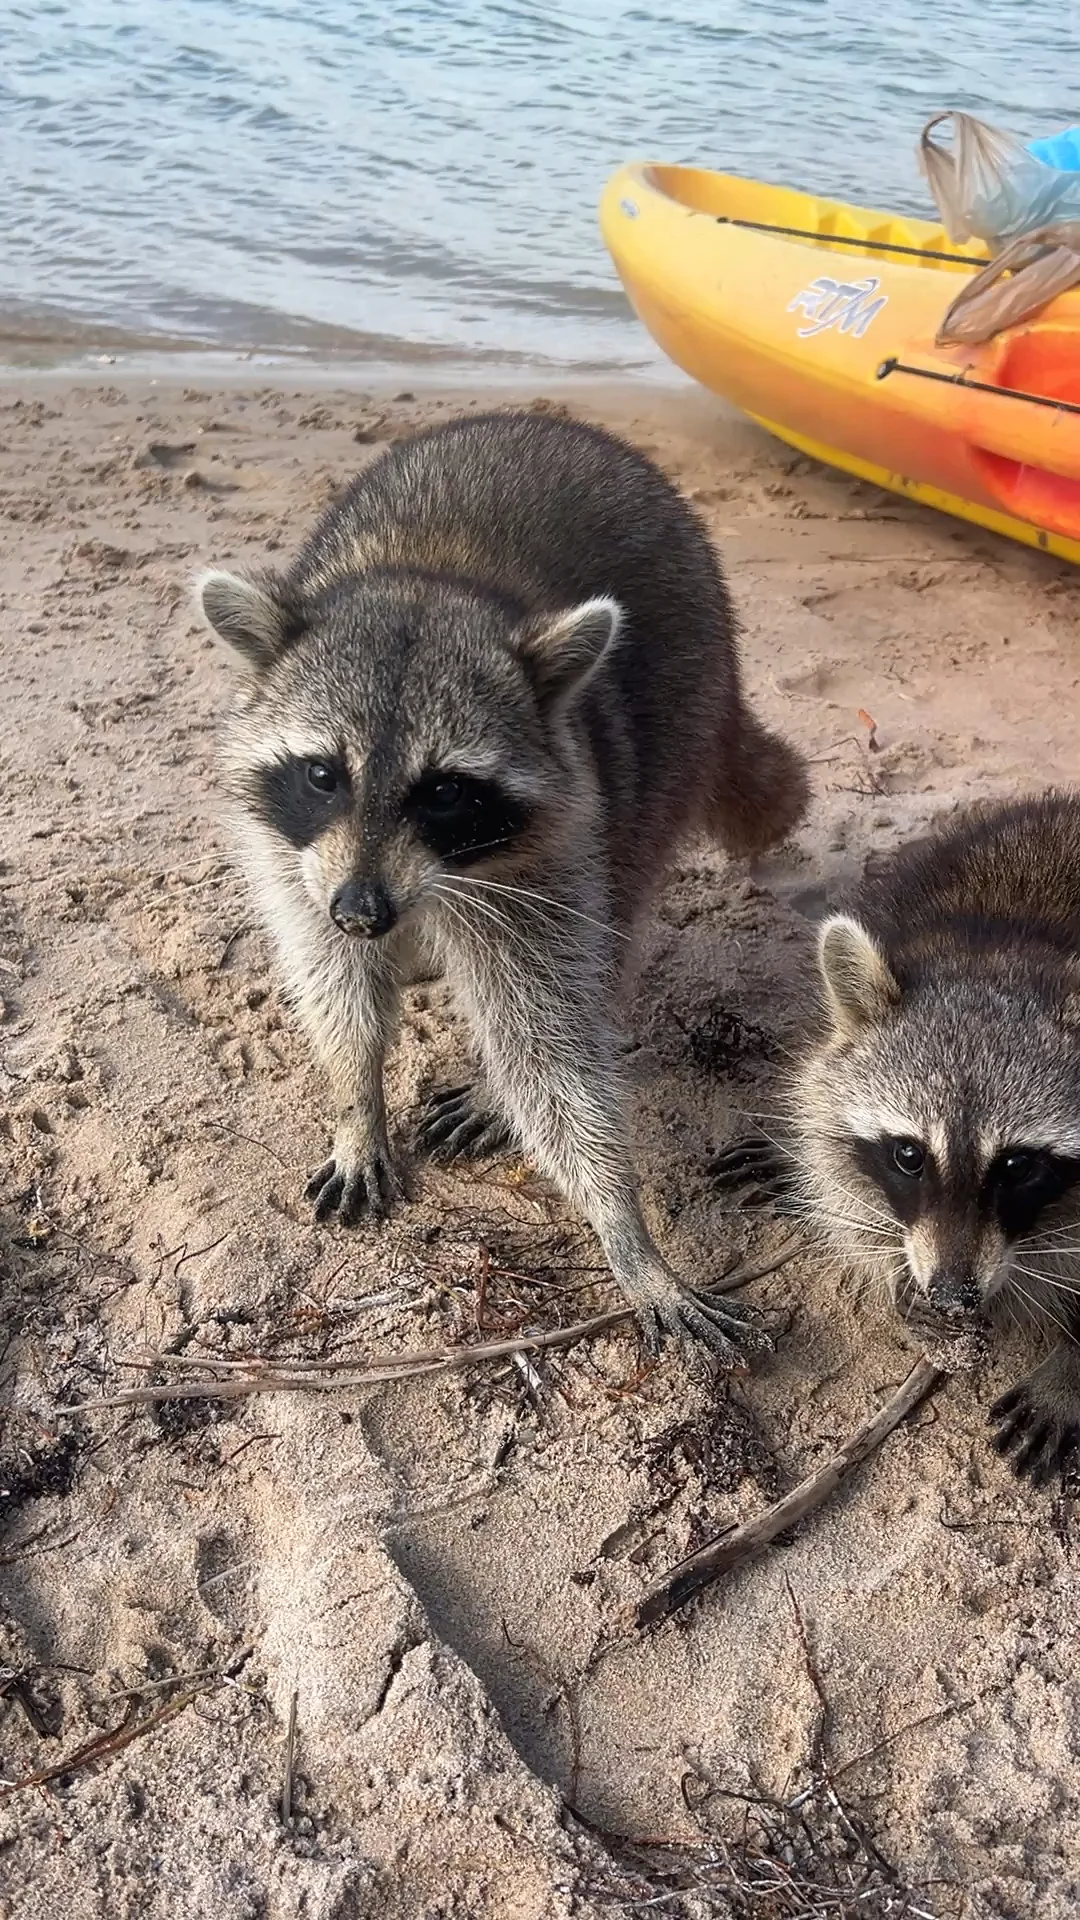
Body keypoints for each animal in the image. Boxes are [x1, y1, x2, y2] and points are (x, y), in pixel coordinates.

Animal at [197, 409, 808, 1359]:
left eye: (444, 792)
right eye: (324, 775)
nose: (363, 913)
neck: (432, 578)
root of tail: (557, 424)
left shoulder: (543, 859)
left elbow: (547, 1041)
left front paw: (626, 1233)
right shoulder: (293, 856)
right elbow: (333, 981)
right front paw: (355, 1096)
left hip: (677, 707)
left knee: (619, 907)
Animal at [713, 792, 1080, 1481]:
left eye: (1017, 1166)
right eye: (909, 1155)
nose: (953, 1294)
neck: (1006, 946)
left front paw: (1072, 1370)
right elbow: (833, 1161)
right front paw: (898, 1278)